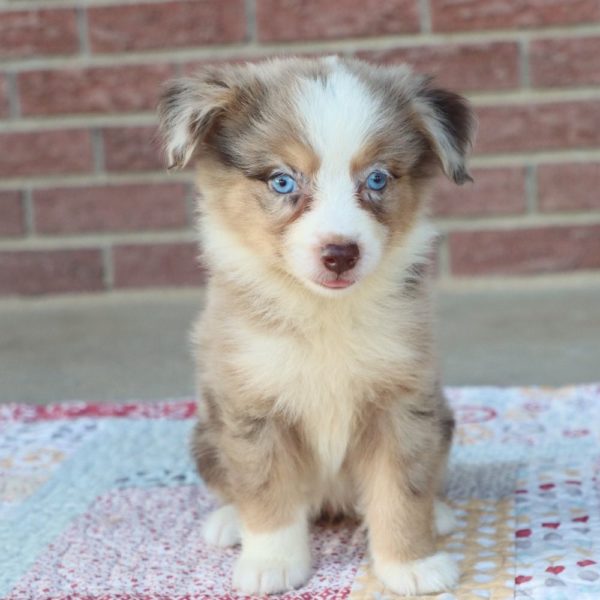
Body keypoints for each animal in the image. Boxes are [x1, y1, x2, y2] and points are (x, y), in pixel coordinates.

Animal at [158, 55, 474, 596]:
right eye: (283, 181)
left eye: (377, 179)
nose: (341, 254)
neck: (324, 312)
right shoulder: (252, 407)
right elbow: (266, 491)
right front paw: (271, 564)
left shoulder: (402, 402)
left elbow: (402, 490)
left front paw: (411, 564)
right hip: (205, 435)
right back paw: (229, 522)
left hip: (443, 419)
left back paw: (440, 514)